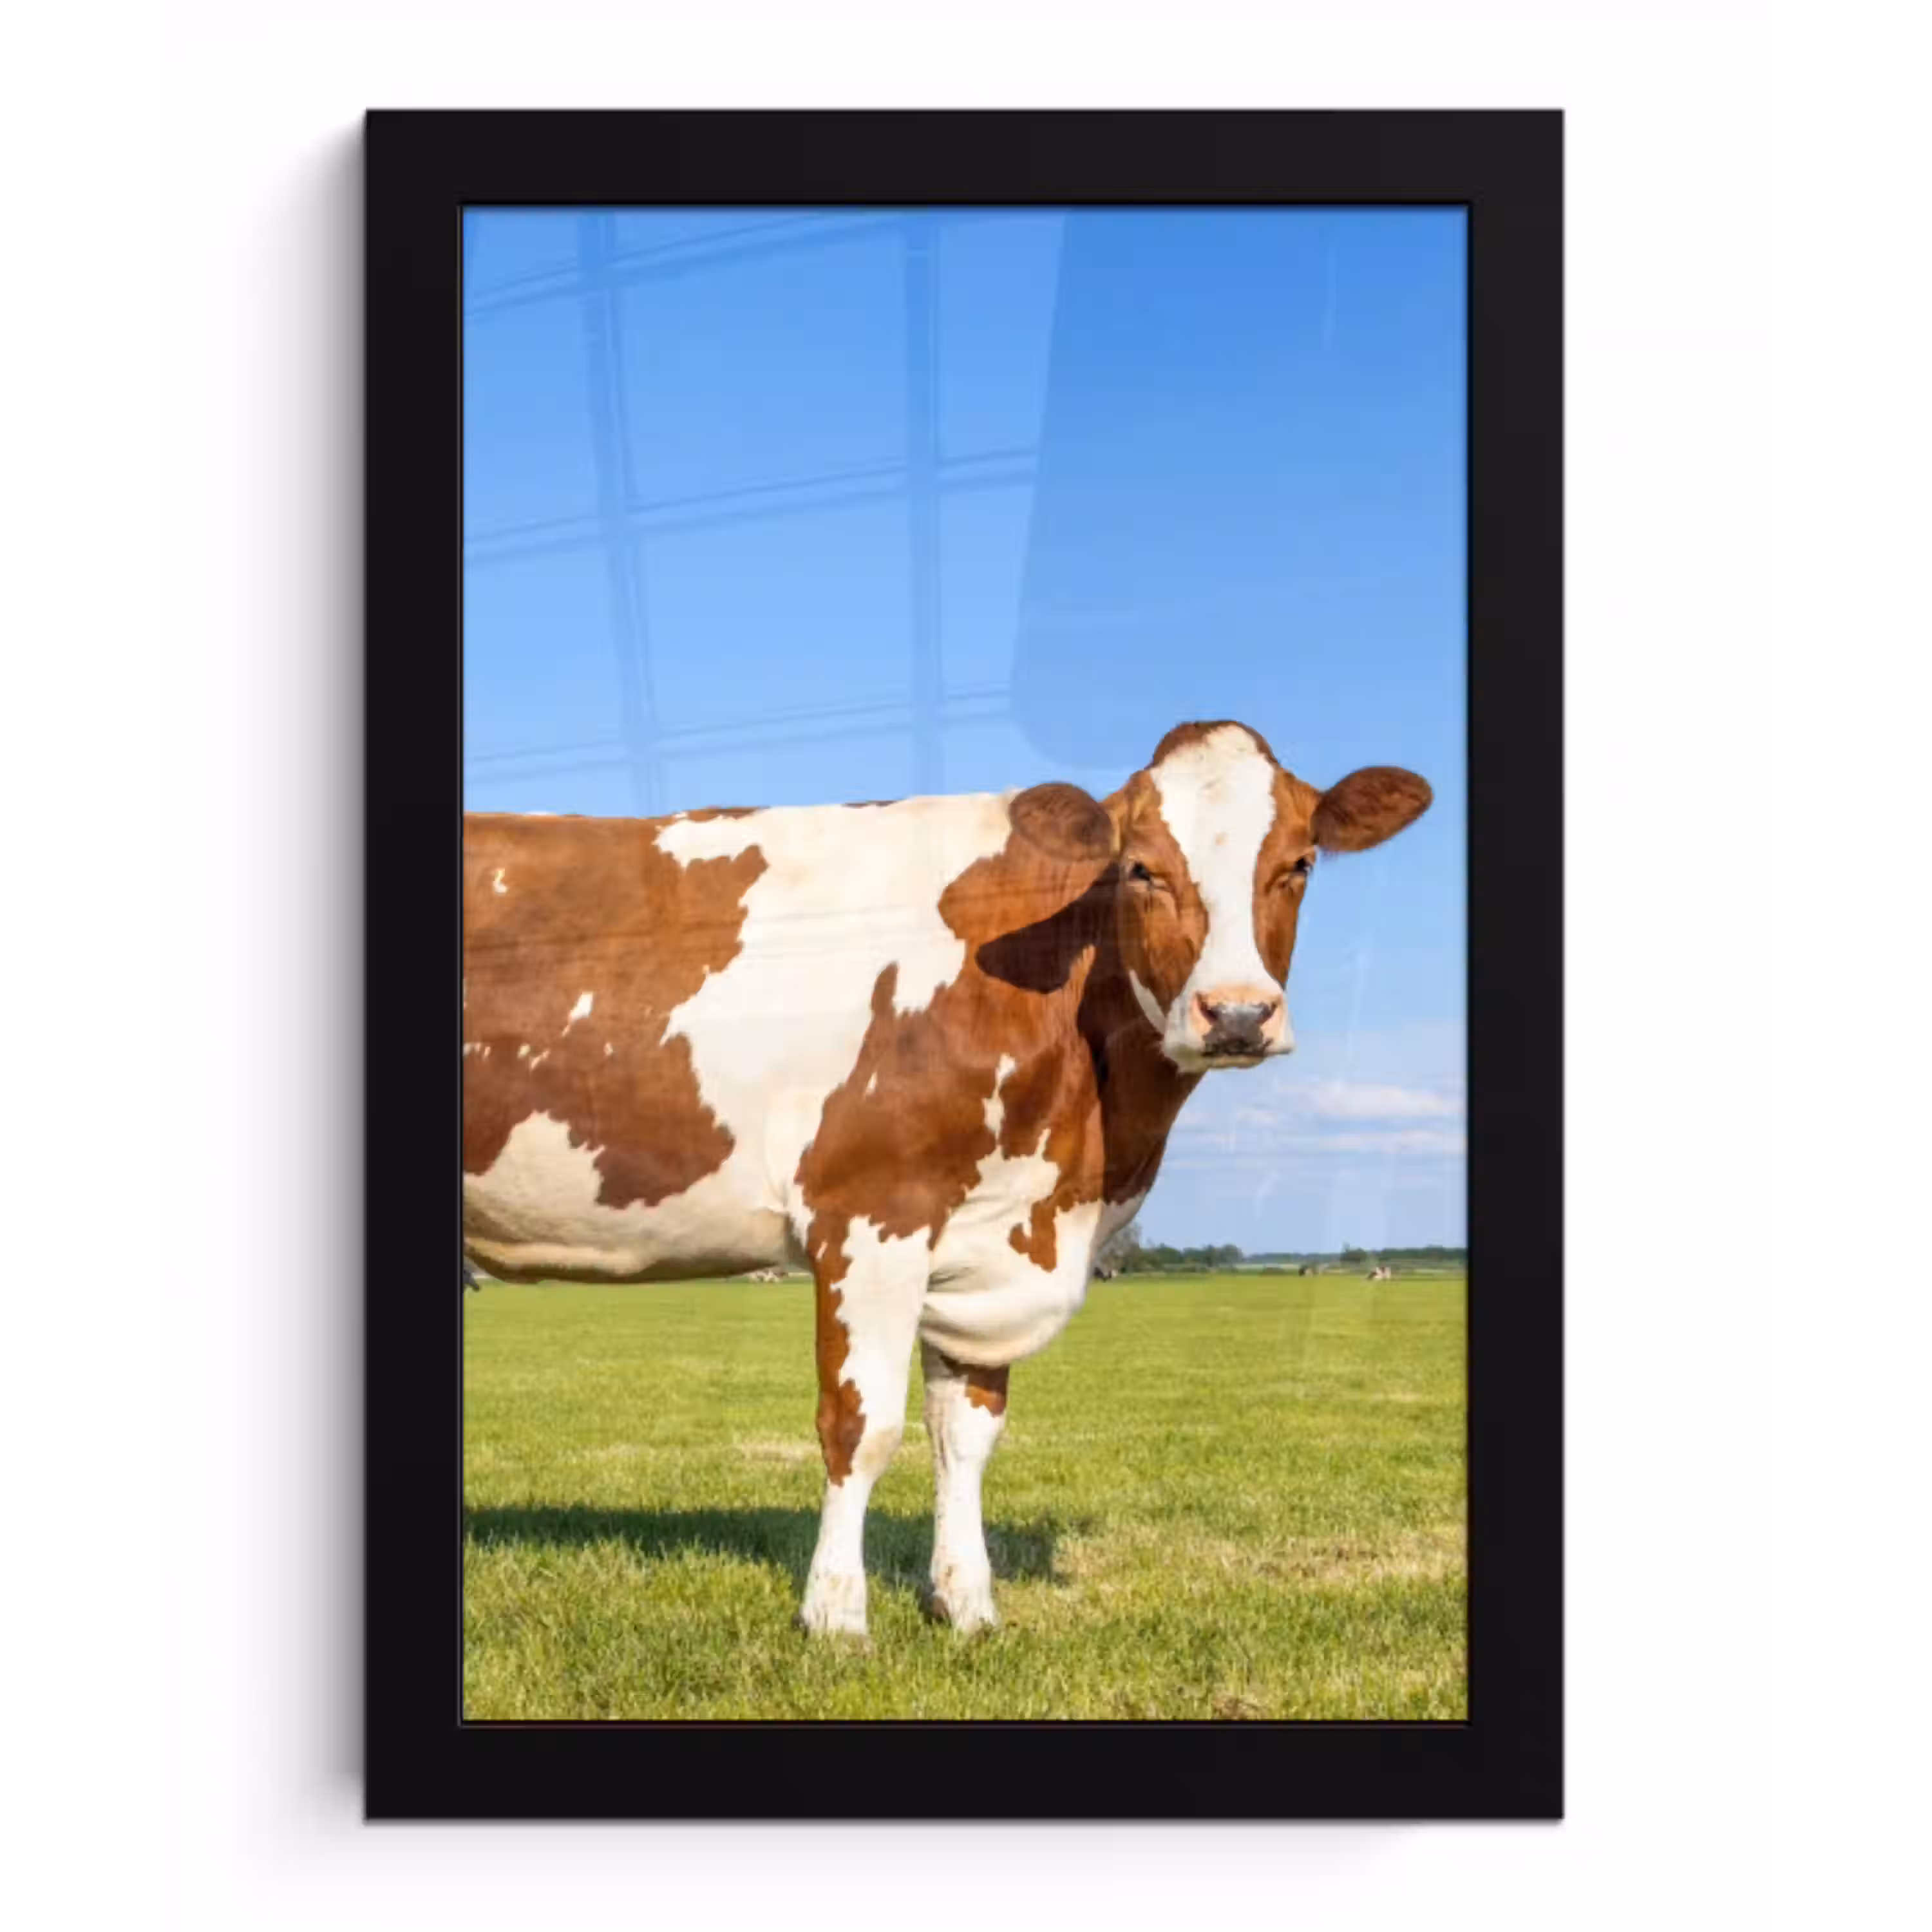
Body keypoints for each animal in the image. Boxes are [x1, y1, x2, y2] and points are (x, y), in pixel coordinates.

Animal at [462, 720, 1431, 1638]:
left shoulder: (991, 1235)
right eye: (1141, 868)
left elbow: (964, 1433)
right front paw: (836, 1615)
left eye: (1299, 863)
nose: (1236, 1014)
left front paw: (964, 1604)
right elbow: (862, 1427)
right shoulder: (869, 1217)